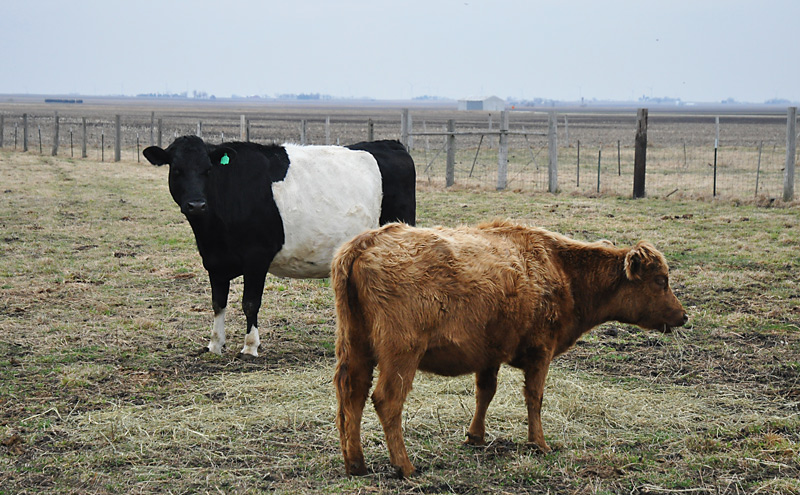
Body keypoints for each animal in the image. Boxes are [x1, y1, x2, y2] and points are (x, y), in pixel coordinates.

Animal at [143, 136, 415, 358]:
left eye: (207, 170)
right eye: (177, 170)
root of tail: (391, 144)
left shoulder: (256, 257)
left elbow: (250, 302)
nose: (197, 204)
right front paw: (215, 345)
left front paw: (250, 347)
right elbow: (218, 303)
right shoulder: (215, 262)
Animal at [332, 219, 688, 477]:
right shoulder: (541, 352)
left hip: (355, 347)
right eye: (661, 281)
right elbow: (535, 398)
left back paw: (356, 464)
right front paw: (539, 443)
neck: (561, 268)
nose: (683, 316)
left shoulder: (488, 353)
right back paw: (404, 466)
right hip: (402, 353)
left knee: (351, 396)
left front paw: (475, 437)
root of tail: (366, 242)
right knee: (386, 400)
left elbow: (485, 392)